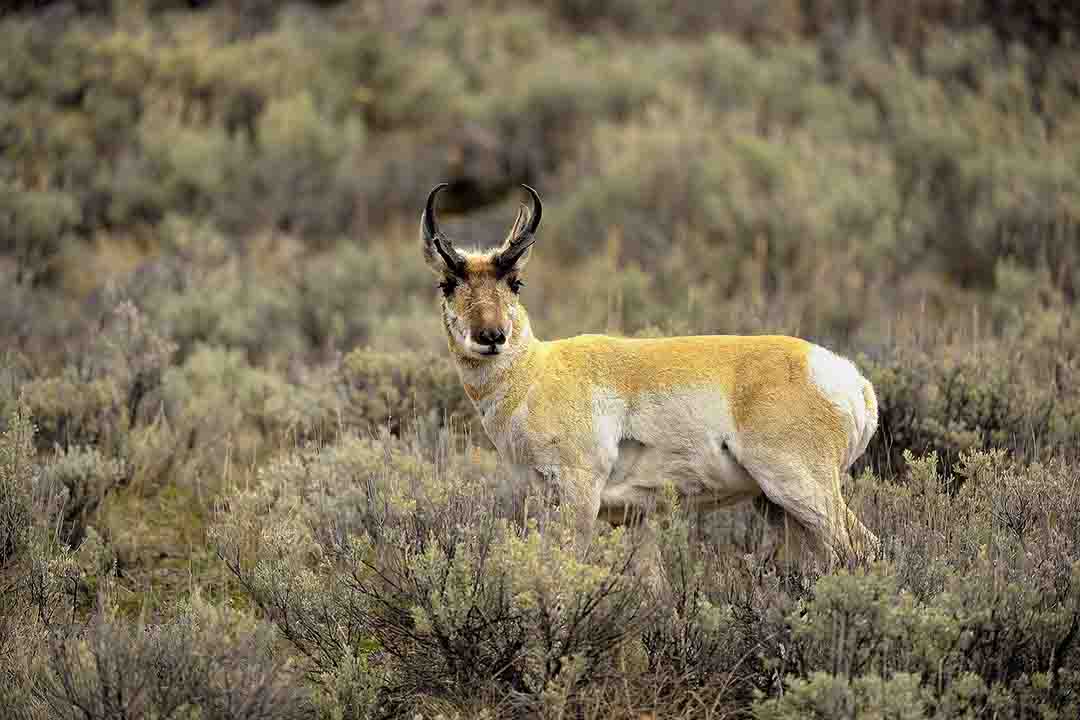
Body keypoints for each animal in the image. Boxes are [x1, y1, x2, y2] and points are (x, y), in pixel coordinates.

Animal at [419, 183, 876, 565]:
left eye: (516, 282)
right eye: (446, 284)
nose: (491, 337)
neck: (537, 371)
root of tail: (851, 380)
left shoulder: (580, 497)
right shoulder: (631, 519)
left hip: (802, 490)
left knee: (863, 548)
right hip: (778, 509)